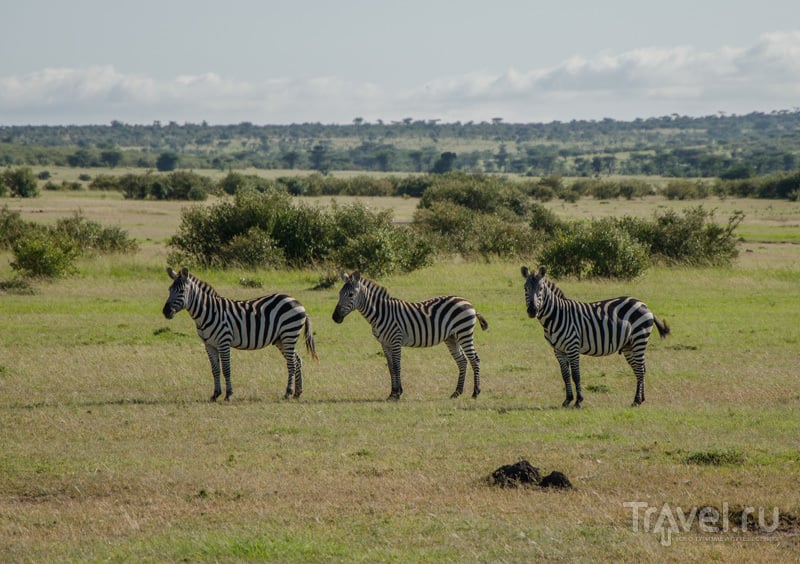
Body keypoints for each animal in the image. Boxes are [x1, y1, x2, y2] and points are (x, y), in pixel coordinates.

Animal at [162, 266, 318, 398]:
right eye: (169, 289)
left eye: (181, 291)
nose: (165, 312)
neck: (208, 312)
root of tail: (297, 302)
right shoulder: (209, 345)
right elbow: (215, 370)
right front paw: (215, 394)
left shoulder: (224, 342)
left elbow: (226, 369)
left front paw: (228, 394)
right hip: (281, 339)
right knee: (297, 360)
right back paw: (298, 392)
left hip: (289, 334)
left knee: (291, 363)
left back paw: (288, 392)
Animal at [332, 270, 488, 398]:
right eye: (339, 294)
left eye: (351, 295)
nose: (335, 317)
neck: (380, 313)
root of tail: (469, 303)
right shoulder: (384, 344)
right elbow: (390, 367)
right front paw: (392, 393)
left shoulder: (395, 340)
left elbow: (397, 366)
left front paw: (398, 394)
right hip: (452, 337)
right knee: (462, 361)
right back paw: (457, 392)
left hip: (464, 333)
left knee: (475, 359)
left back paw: (476, 392)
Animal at [520, 264, 672, 406]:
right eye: (525, 288)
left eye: (541, 289)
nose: (532, 310)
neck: (557, 315)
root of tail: (644, 305)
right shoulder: (558, 350)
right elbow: (565, 375)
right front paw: (568, 400)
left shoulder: (573, 346)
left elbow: (576, 375)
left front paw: (578, 401)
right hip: (629, 346)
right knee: (640, 369)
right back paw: (641, 399)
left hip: (639, 339)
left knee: (640, 370)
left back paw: (636, 400)